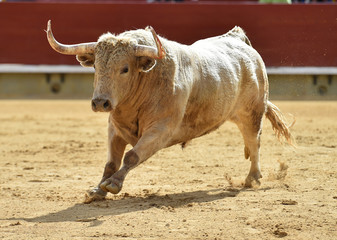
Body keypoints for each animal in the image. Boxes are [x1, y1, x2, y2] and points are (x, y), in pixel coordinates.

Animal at [46, 20, 292, 201]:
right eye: (96, 66)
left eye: (125, 69)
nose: (100, 102)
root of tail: (238, 39)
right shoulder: (115, 128)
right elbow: (111, 162)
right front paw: (97, 190)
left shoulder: (161, 129)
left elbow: (132, 156)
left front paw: (113, 184)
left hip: (252, 112)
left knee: (254, 140)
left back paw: (252, 179)